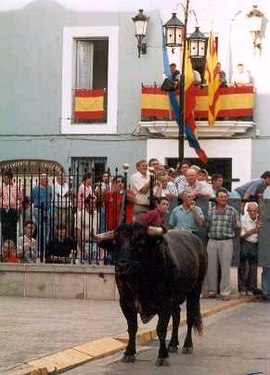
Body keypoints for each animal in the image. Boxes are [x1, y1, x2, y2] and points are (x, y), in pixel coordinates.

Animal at [113, 223, 208, 368]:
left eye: (140, 243)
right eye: (116, 242)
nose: (122, 265)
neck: (140, 281)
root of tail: (198, 242)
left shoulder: (165, 303)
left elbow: (161, 329)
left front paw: (162, 356)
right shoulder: (125, 303)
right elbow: (132, 328)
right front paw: (129, 353)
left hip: (195, 290)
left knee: (190, 317)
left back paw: (187, 345)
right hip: (176, 299)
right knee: (177, 317)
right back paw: (173, 344)